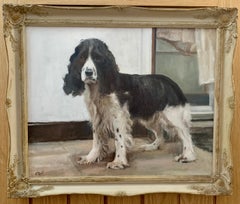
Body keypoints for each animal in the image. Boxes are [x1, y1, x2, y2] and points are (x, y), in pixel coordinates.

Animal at [62, 37, 196, 169]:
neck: (99, 88)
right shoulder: (97, 116)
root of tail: (173, 84)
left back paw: (188, 156)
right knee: (160, 133)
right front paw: (90, 158)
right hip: (150, 117)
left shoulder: (118, 117)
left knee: (186, 134)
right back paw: (151, 146)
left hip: (172, 116)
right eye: (82, 57)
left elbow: (119, 140)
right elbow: (97, 139)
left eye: (97, 58)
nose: (88, 72)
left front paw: (118, 162)